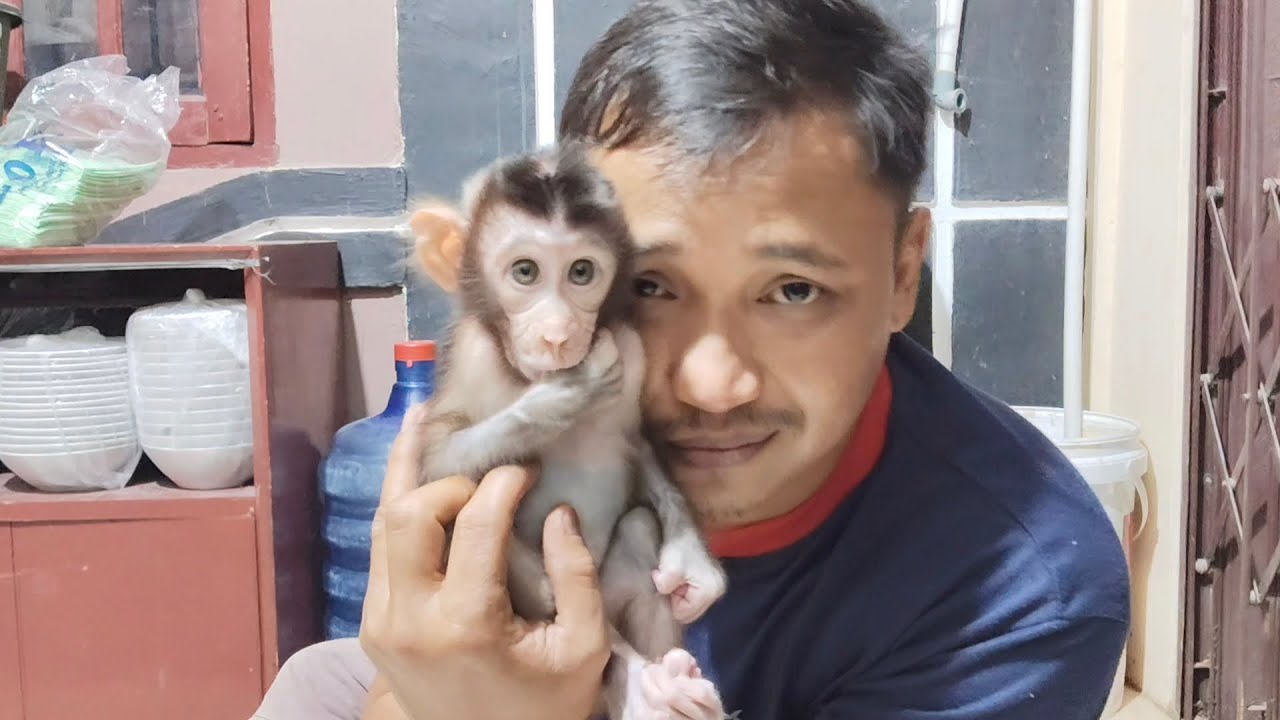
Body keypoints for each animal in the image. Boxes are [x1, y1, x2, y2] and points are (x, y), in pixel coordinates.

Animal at [406, 140, 729, 720]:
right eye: (525, 272)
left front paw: (692, 564)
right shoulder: (472, 355)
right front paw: (565, 395)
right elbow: (438, 466)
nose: (558, 335)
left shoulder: (630, 346)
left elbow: (636, 444)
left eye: (582, 272)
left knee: (640, 529)